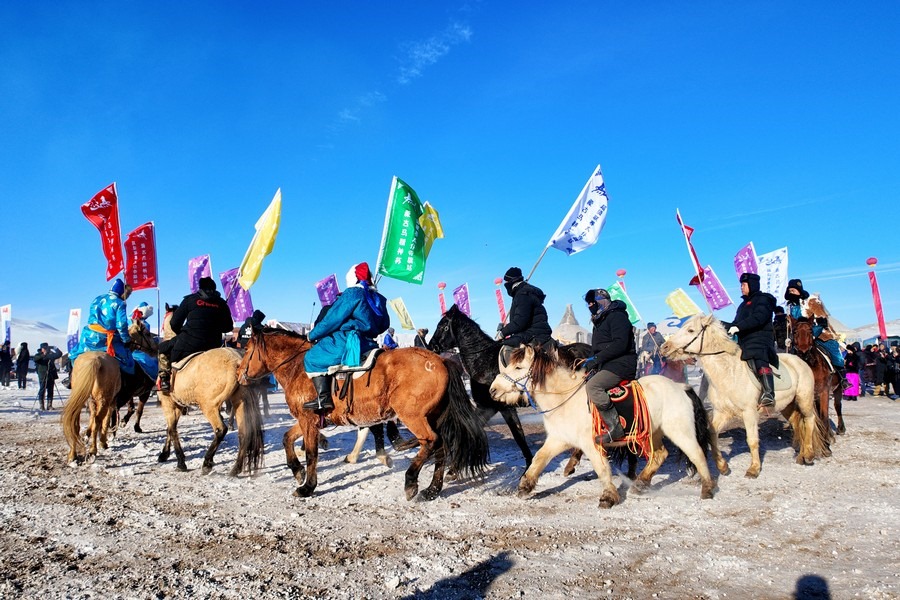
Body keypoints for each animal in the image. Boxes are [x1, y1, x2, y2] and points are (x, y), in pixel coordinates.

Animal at [157, 307, 264, 476]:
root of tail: (236, 361)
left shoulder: (168, 404)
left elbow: (172, 430)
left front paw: (180, 461)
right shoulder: (178, 406)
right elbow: (170, 430)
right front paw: (165, 454)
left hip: (209, 406)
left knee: (220, 429)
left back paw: (207, 462)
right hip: (240, 402)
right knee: (244, 433)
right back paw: (235, 468)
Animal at [236, 327, 489, 500]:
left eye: (247, 350)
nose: (238, 374)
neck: (298, 367)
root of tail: (441, 361)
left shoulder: (308, 420)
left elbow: (311, 454)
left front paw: (307, 486)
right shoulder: (307, 419)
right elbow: (286, 438)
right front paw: (297, 471)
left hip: (413, 416)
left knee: (430, 441)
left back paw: (411, 481)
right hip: (433, 417)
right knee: (441, 447)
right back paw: (432, 490)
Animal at [429, 304, 593, 469]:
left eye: (442, 325)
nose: (431, 346)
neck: (483, 360)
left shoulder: (505, 407)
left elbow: (518, 435)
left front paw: (528, 464)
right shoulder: (487, 406)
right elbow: (471, 428)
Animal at [489, 344, 716, 508]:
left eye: (518, 367)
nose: (492, 390)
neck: (565, 398)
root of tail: (681, 387)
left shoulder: (591, 444)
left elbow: (601, 468)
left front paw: (608, 497)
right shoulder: (558, 439)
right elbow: (539, 459)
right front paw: (524, 487)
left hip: (680, 432)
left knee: (697, 454)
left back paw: (707, 489)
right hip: (653, 434)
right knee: (659, 456)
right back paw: (639, 485)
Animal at [660, 314, 829, 478]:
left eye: (690, 330)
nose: (664, 348)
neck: (728, 372)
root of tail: (800, 360)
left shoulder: (749, 413)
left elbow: (752, 440)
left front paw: (754, 469)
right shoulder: (722, 412)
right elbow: (712, 434)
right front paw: (723, 466)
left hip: (804, 400)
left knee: (809, 420)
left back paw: (808, 455)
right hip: (786, 405)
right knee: (797, 423)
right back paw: (801, 455)